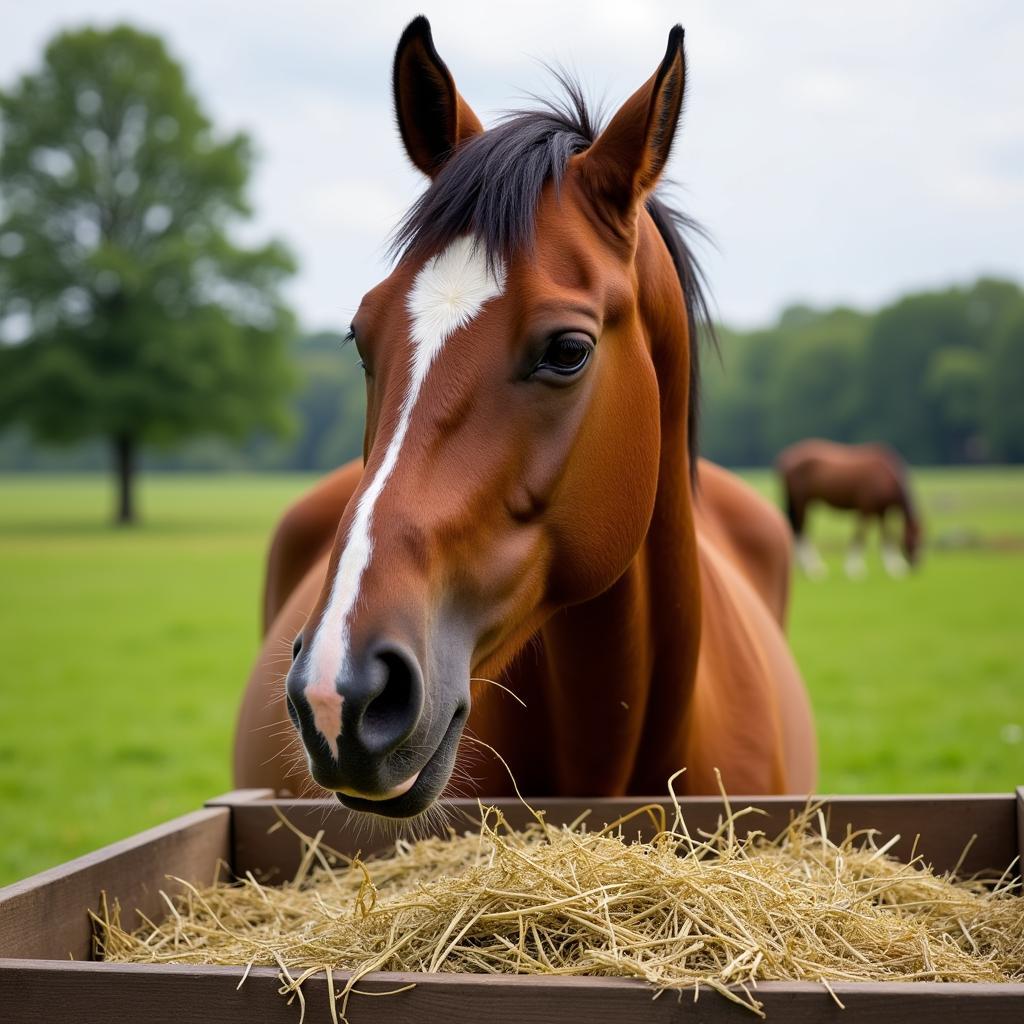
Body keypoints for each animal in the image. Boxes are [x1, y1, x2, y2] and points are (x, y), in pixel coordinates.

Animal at [774, 438, 921, 581]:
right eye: (915, 540)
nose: (915, 566)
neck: (886, 476)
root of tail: (786, 456)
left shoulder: (881, 511)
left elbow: (886, 537)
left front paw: (894, 567)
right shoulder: (866, 508)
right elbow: (860, 536)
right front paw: (855, 569)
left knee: (795, 529)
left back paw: (801, 567)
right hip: (801, 501)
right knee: (800, 530)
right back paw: (813, 568)